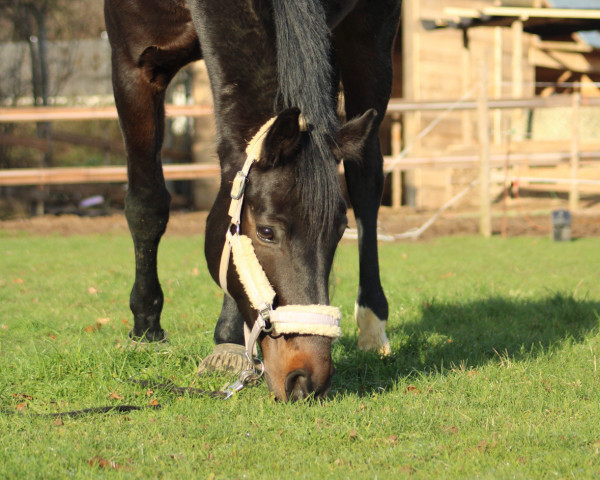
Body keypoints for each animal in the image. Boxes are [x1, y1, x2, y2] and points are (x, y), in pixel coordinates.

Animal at [105, 0, 400, 402]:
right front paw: (146, 327)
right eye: (266, 232)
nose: (307, 378)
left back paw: (372, 323)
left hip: (370, 37)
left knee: (365, 178)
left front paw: (227, 340)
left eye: (340, 232)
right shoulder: (133, 60)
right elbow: (146, 203)